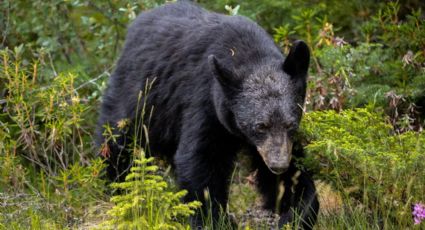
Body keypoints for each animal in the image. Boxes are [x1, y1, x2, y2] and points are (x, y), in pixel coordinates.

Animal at [97, 0, 318, 229]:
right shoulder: (205, 103)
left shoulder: (274, 142)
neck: (248, 54)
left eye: (291, 124)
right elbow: (200, 160)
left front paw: (296, 212)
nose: (278, 164)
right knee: (117, 142)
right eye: (260, 126)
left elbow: (291, 175)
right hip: (139, 98)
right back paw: (118, 187)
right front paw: (213, 219)